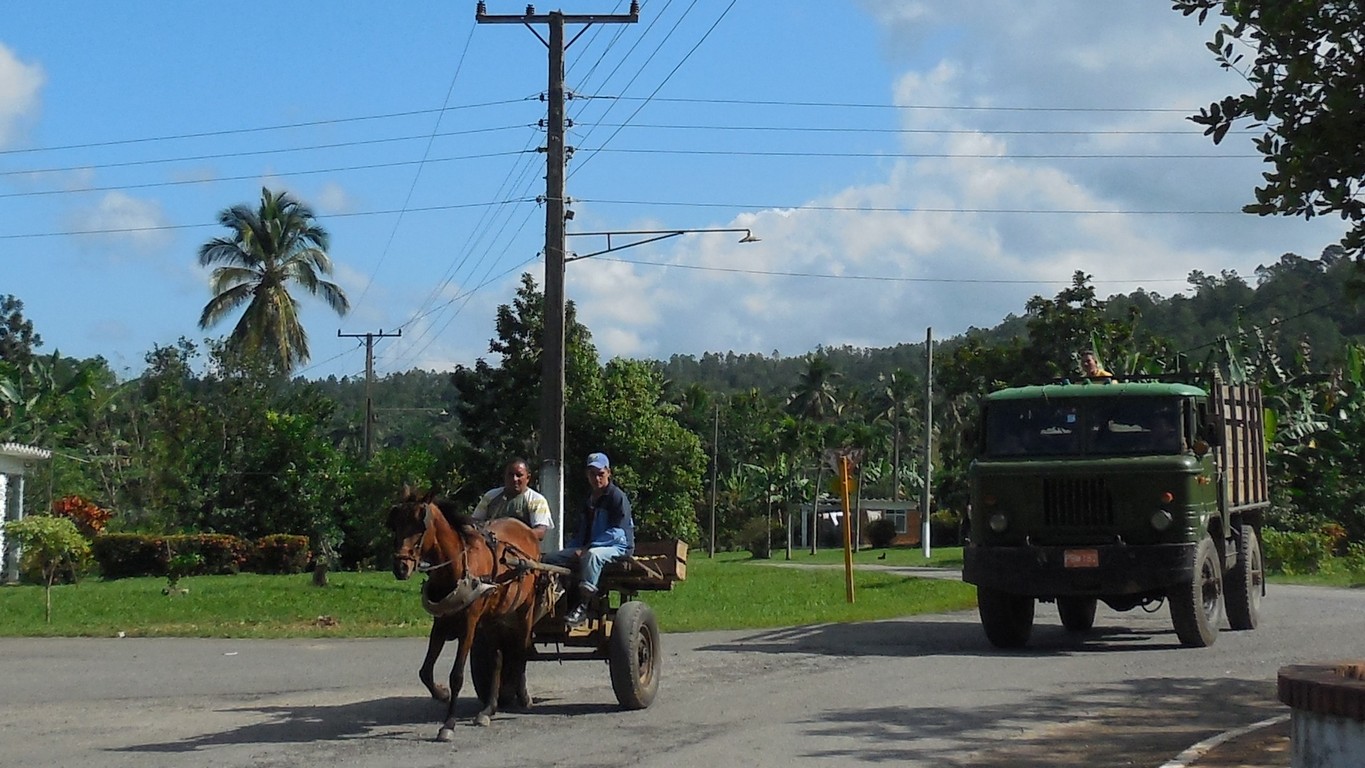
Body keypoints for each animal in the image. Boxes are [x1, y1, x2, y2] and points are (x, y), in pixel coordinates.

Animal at [387, 485, 540, 736]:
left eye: (421, 525)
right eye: (395, 523)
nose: (401, 566)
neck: (457, 566)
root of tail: (527, 531)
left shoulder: (470, 621)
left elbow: (457, 675)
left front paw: (448, 723)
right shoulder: (441, 621)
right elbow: (425, 671)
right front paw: (441, 694)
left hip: (524, 609)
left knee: (521, 649)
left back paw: (523, 696)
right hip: (494, 616)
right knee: (498, 658)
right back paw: (488, 709)